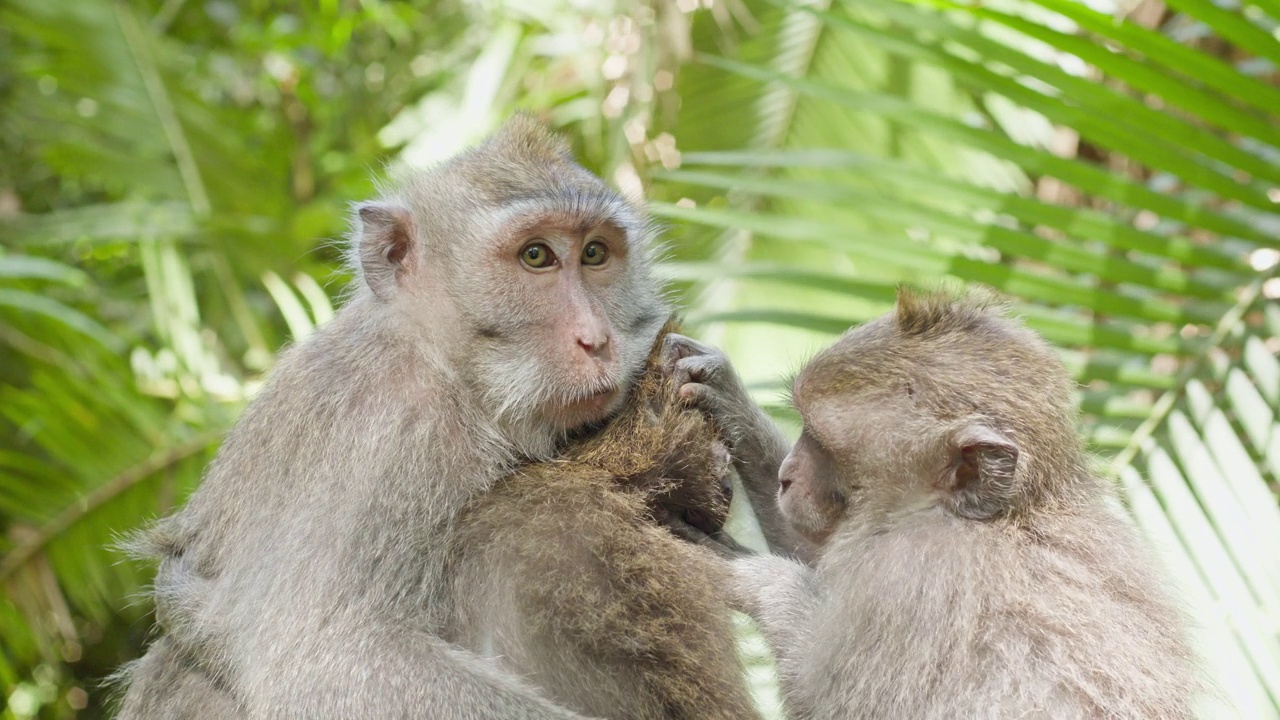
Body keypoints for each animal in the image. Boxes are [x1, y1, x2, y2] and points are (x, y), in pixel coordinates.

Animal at [117, 114, 711, 712]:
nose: (596, 339)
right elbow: (326, 661)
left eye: (594, 254)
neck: (443, 367)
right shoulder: (387, 437)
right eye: (536, 256)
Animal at [680, 285, 1198, 717]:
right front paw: (729, 398)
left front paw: (744, 573)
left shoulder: (909, 576)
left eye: (822, 444)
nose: (787, 478)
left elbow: (829, 699)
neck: (1009, 515)